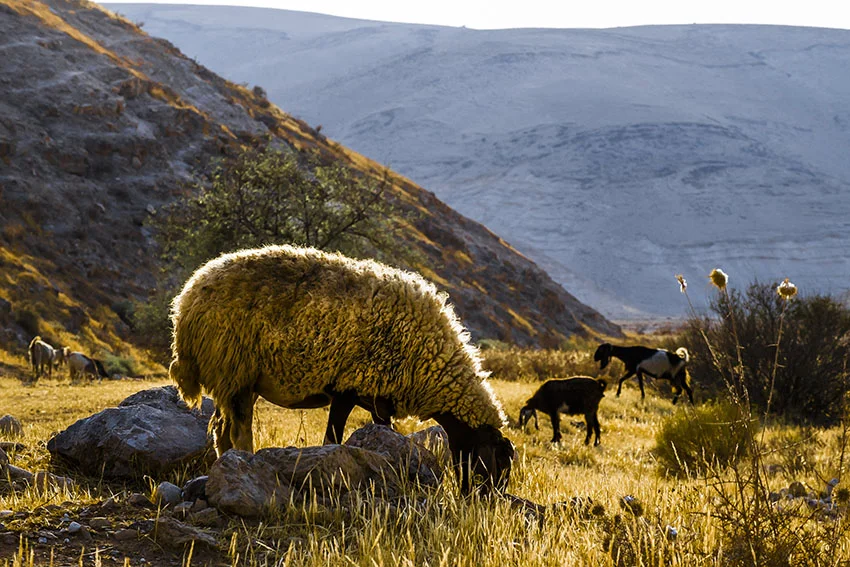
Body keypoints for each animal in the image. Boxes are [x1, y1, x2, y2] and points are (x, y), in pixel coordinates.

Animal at [169, 245, 515, 494]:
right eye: (498, 459)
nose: (486, 501)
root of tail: (188, 298)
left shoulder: (379, 398)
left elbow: (383, 434)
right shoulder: (347, 388)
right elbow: (331, 438)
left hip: (238, 378)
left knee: (221, 430)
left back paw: (226, 463)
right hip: (234, 368)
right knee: (239, 429)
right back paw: (247, 460)